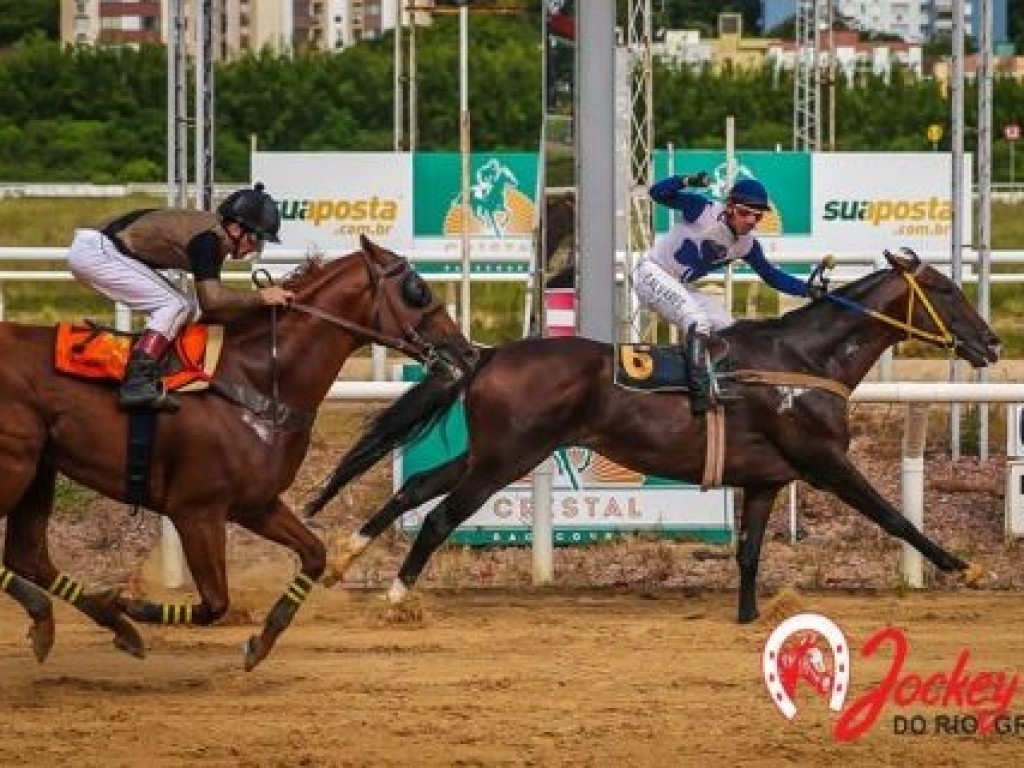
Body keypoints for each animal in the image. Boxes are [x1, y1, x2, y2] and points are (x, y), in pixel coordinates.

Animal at [0, 237, 471, 671]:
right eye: (417, 290)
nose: (467, 351)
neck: (256, 381)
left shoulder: (254, 504)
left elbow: (313, 555)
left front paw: (260, 642)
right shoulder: (196, 511)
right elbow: (215, 603)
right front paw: (131, 605)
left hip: (39, 470)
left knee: (28, 556)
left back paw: (75, 623)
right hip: (15, 466)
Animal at [305, 249, 999, 622]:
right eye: (945, 289)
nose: (992, 343)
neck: (803, 361)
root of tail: (487, 354)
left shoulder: (766, 479)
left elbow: (749, 552)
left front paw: (750, 617)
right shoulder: (823, 460)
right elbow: (896, 517)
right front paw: (965, 569)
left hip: (492, 451)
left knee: (418, 485)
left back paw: (343, 559)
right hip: (507, 457)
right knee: (439, 516)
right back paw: (397, 597)